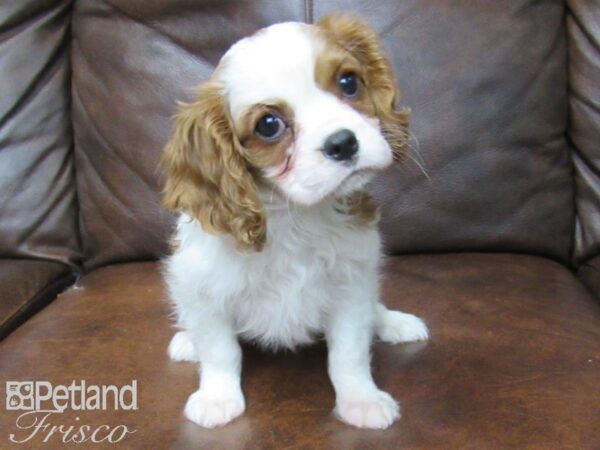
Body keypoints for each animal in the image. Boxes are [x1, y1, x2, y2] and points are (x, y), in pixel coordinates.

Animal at [162, 14, 428, 428]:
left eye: (349, 82)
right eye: (269, 125)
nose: (343, 143)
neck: (295, 217)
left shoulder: (352, 284)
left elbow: (349, 353)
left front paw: (360, 400)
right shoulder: (203, 288)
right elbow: (221, 351)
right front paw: (217, 398)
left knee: (374, 309)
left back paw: (391, 322)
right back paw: (187, 341)